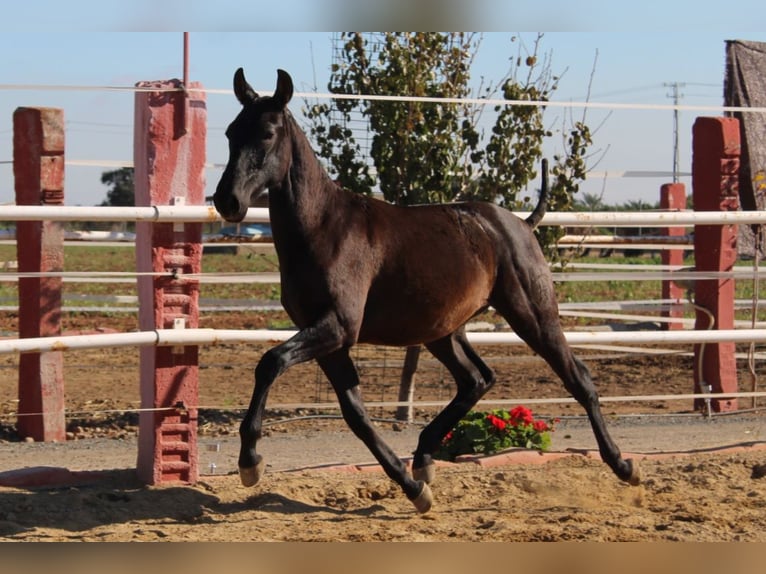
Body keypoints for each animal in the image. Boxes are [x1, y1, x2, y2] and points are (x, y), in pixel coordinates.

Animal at [213, 70, 640, 516]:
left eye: (267, 133)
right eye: (230, 132)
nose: (227, 200)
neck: (323, 227)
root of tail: (522, 223)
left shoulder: (336, 327)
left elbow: (271, 362)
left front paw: (250, 462)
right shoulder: (330, 339)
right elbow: (355, 414)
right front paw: (413, 487)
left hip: (533, 315)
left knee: (578, 378)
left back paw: (624, 466)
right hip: (443, 331)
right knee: (477, 380)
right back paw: (423, 460)